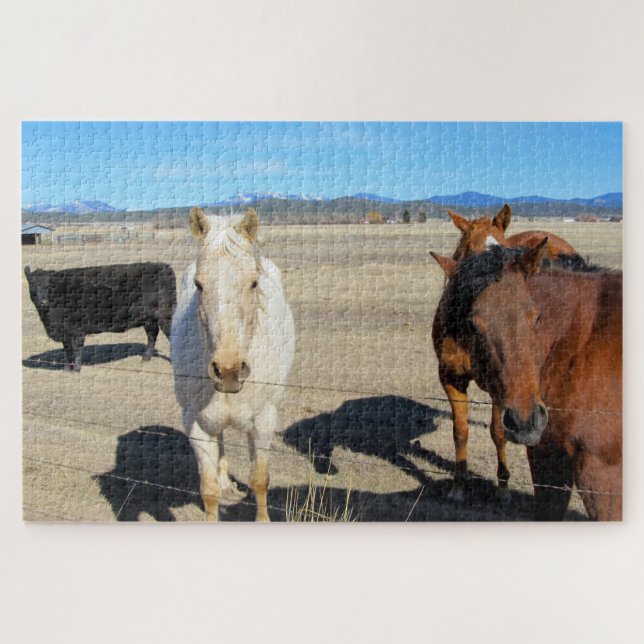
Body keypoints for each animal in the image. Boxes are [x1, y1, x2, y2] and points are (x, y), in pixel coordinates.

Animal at [24, 262, 176, 372]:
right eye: (32, 286)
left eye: (49, 286)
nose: (43, 301)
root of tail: (164, 266)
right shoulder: (64, 333)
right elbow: (68, 351)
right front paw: (67, 368)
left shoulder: (76, 330)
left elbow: (76, 350)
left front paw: (76, 369)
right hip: (149, 319)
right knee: (152, 335)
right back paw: (145, 358)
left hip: (165, 314)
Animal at [171, 207, 295, 521]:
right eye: (198, 284)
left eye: (253, 283)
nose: (228, 370)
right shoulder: (196, 424)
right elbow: (208, 488)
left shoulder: (264, 421)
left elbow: (260, 479)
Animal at [431, 242, 622, 520]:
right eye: (473, 325)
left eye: (537, 317)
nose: (525, 421)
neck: (583, 340)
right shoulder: (549, 454)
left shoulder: (599, 473)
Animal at [433, 204, 581, 501]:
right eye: (467, 249)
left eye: (502, 247)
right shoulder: (451, 377)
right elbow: (460, 431)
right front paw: (458, 485)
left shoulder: (501, 385)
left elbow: (498, 432)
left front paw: (503, 487)